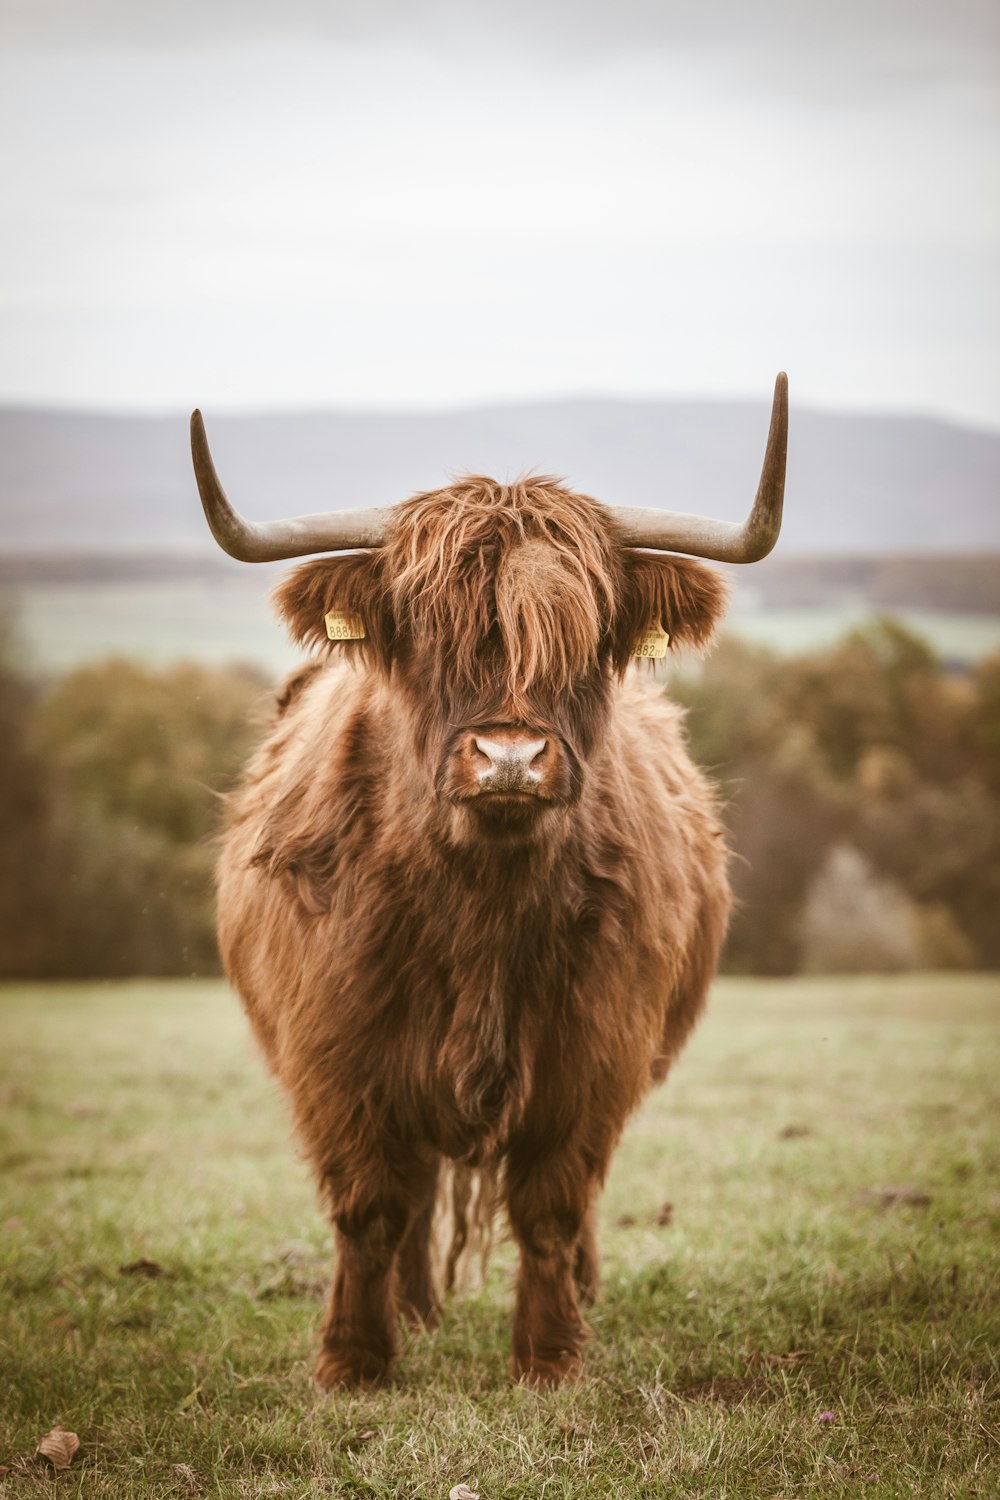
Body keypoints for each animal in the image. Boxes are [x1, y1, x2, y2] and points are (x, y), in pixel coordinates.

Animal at [191, 381, 791, 1386]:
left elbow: (552, 1206)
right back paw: (415, 1310)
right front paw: (355, 1360)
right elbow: (370, 1206)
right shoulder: (337, 1052)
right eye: (424, 632)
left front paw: (550, 1356)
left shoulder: (595, 1053)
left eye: (584, 638)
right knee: (416, 1192)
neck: (480, 906)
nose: (509, 755)